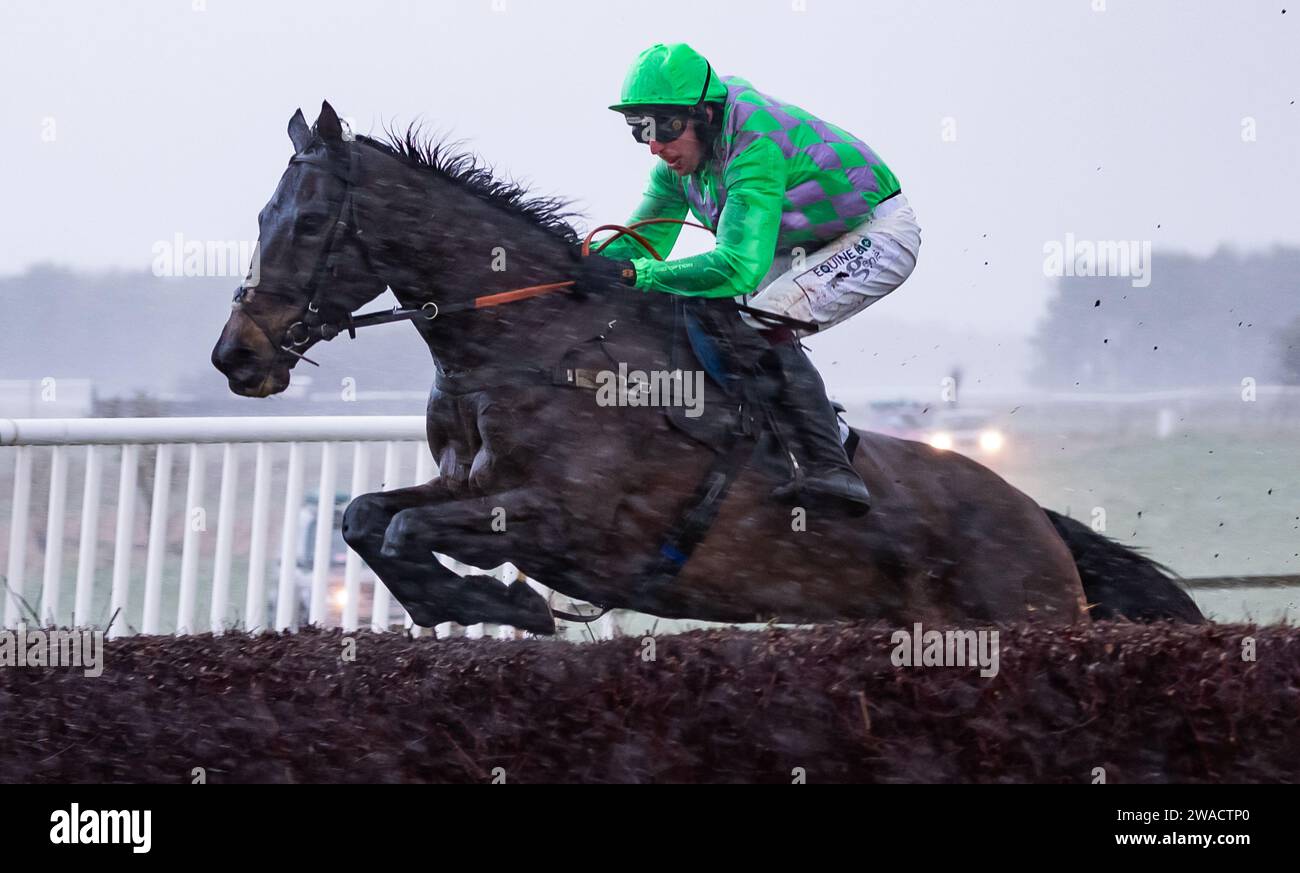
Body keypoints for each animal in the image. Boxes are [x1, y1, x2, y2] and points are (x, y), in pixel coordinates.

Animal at [210, 102, 1196, 633]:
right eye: (260, 216)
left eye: (307, 222)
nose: (236, 356)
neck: (526, 350)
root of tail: (1039, 522)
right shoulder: (465, 482)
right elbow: (365, 517)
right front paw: (468, 603)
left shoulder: (569, 520)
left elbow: (407, 530)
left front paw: (509, 606)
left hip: (1021, 616)